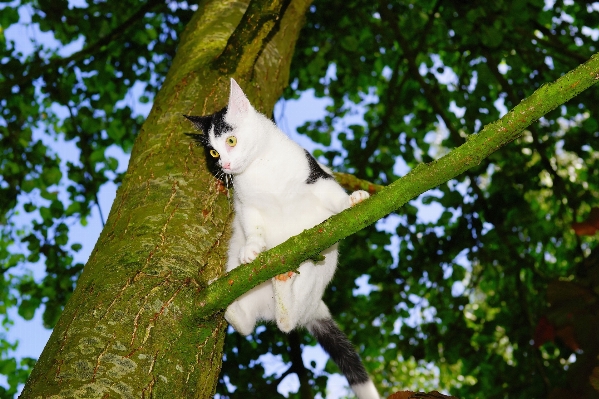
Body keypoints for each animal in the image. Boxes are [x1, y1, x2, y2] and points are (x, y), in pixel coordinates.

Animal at [185, 79, 380, 399]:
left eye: (231, 141)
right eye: (212, 153)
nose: (224, 165)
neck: (259, 169)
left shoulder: (316, 177)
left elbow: (333, 194)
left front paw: (351, 201)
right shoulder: (245, 205)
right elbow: (252, 227)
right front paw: (252, 249)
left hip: (315, 273)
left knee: (288, 324)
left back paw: (284, 289)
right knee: (251, 325)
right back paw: (234, 302)